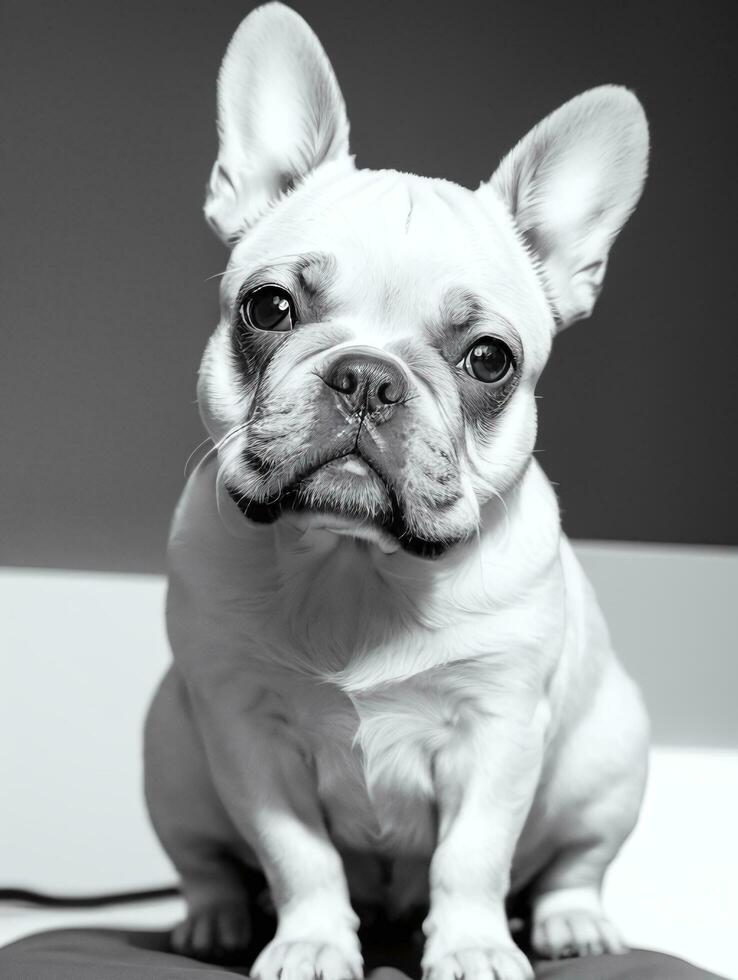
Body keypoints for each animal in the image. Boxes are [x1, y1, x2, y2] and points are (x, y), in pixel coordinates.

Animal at [144, 7, 648, 980]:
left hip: (606, 763)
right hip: (172, 757)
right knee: (207, 864)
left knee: (575, 863)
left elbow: (473, 858)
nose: (368, 378)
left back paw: (572, 923)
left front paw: (474, 947)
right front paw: (308, 942)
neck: (353, 566)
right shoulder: (244, 731)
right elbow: (296, 854)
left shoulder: (498, 733)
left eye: (488, 359)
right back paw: (215, 921)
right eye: (268, 308)